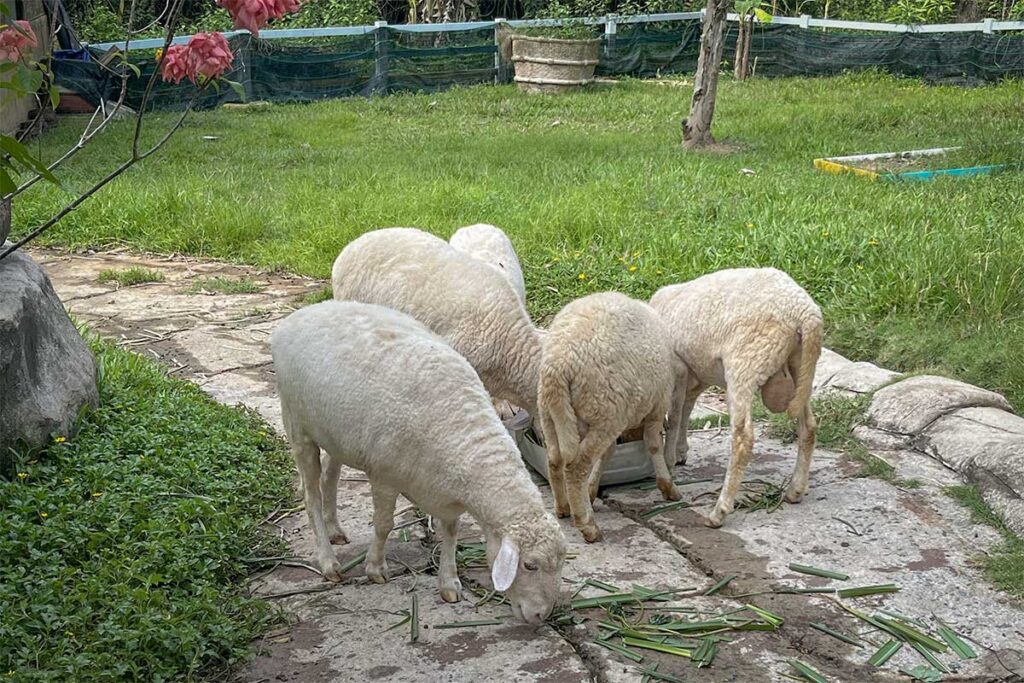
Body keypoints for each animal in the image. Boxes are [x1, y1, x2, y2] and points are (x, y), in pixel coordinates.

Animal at [271, 300, 567, 624]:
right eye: (529, 565)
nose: (541, 616)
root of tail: (304, 312)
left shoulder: (444, 492)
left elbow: (450, 533)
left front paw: (449, 583)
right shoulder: (384, 475)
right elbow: (384, 524)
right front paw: (376, 568)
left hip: (334, 432)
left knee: (330, 475)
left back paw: (335, 529)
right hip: (297, 425)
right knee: (311, 493)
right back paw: (328, 561)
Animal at [538, 291, 684, 543]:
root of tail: (559, 366)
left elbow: (609, 453)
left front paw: (591, 490)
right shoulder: (656, 406)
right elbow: (653, 445)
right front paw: (667, 487)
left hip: (553, 414)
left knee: (555, 459)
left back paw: (564, 507)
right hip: (604, 410)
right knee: (575, 468)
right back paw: (587, 525)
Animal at [649, 267, 823, 528]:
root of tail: (804, 311)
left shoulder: (678, 367)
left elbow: (677, 413)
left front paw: (669, 459)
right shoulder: (696, 373)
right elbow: (686, 409)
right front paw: (680, 452)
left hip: (745, 361)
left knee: (742, 438)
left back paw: (719, 511)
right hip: (800, 365)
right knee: (809, 426)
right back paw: (795, 490)